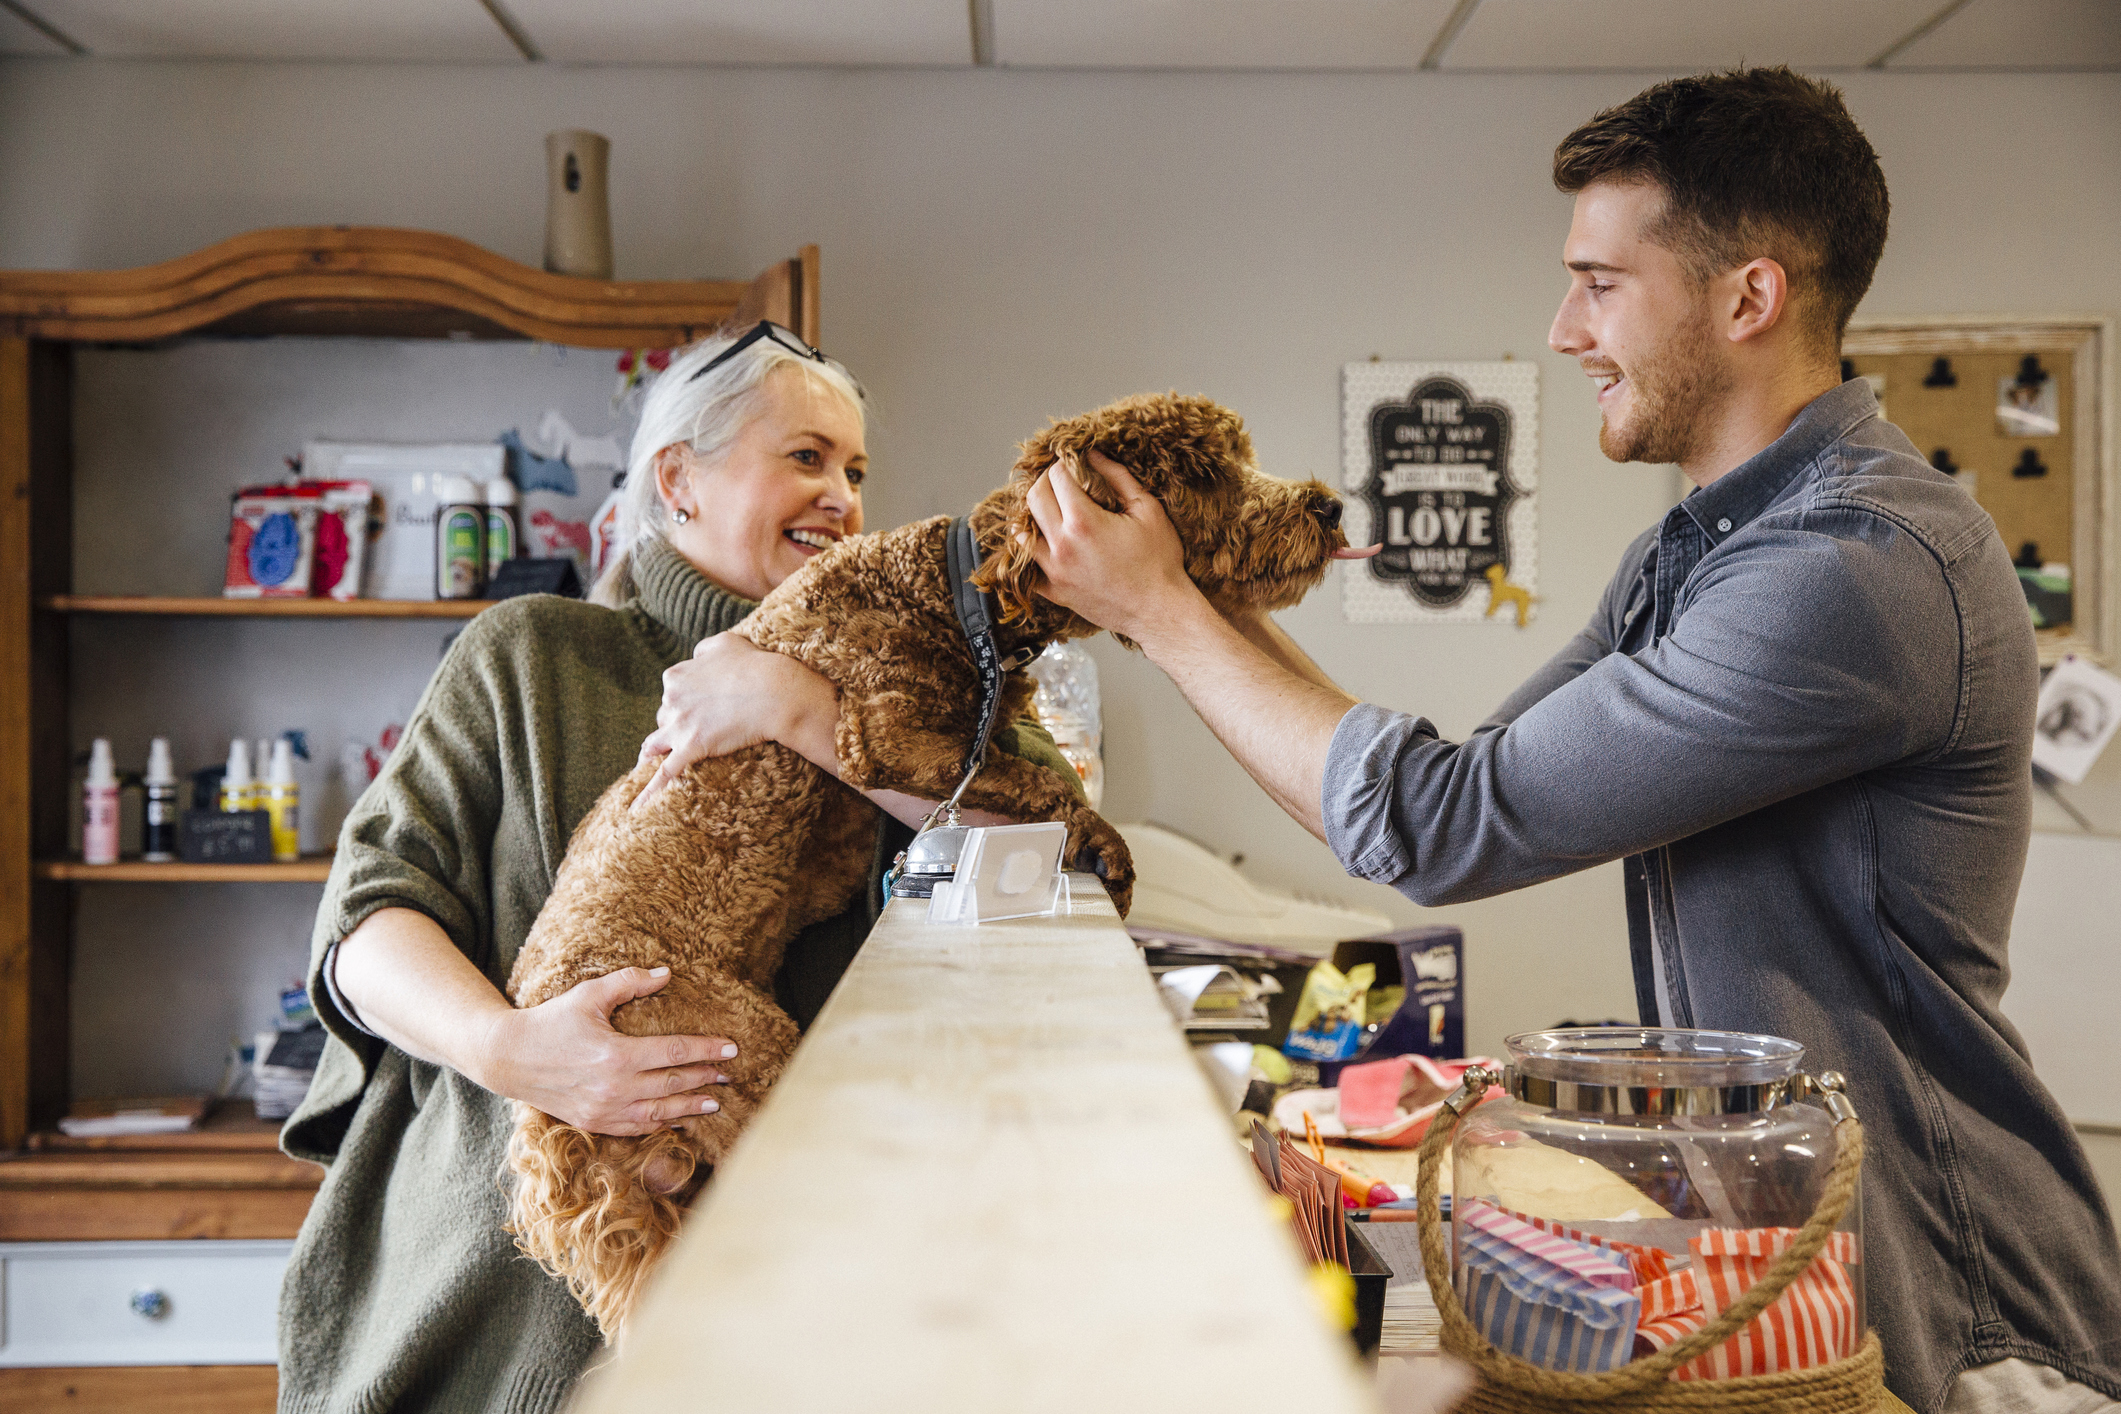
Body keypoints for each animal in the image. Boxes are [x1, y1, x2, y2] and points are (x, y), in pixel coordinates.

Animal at [500, 390, 1357, 1339]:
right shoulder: (885, 733)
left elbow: (1017, 772)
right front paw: (1107, 847)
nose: (1329, 507)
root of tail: (549, 1121)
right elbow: (1036, 779)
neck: (957, 592)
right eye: (1205, 471)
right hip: (734, 1052)